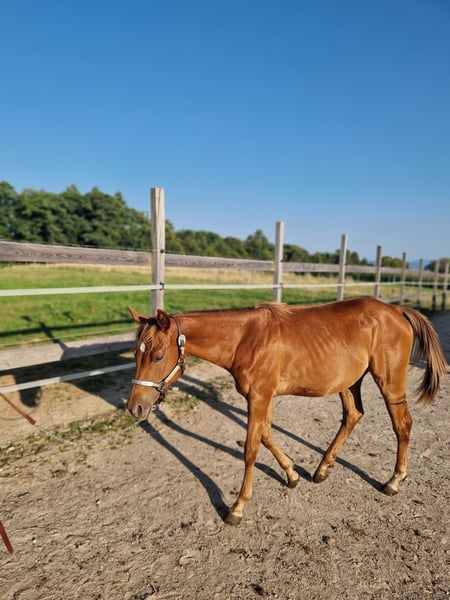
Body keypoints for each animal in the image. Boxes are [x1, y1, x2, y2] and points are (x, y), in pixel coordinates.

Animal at [127, 298, 447, 525]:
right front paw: (292, 475)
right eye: (135, 354)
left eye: (157, 356)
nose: (135, 407)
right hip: (349, 381)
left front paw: (238, 507)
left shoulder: (259, 397)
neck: (245, 338)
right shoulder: (262, 398)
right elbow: (267, 435)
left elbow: (251, 449)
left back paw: (394, 480)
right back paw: (322, 469)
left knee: (402, 424)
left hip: (389, 383)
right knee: (353, 415)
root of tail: (396, 310)